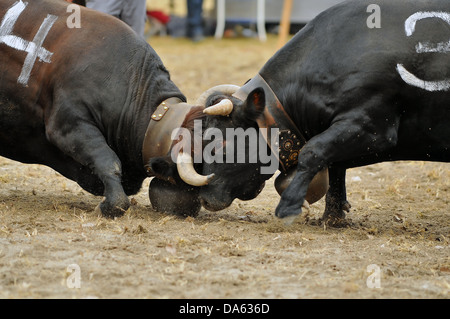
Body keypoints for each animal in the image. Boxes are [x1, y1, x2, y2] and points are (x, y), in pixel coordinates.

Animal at [195, 0, 448, 225]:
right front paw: (333, 216)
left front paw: (289, 205)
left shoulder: (372, 126)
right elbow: (334, 164)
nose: (204, 198)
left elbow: (313, 151)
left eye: (220, 145)